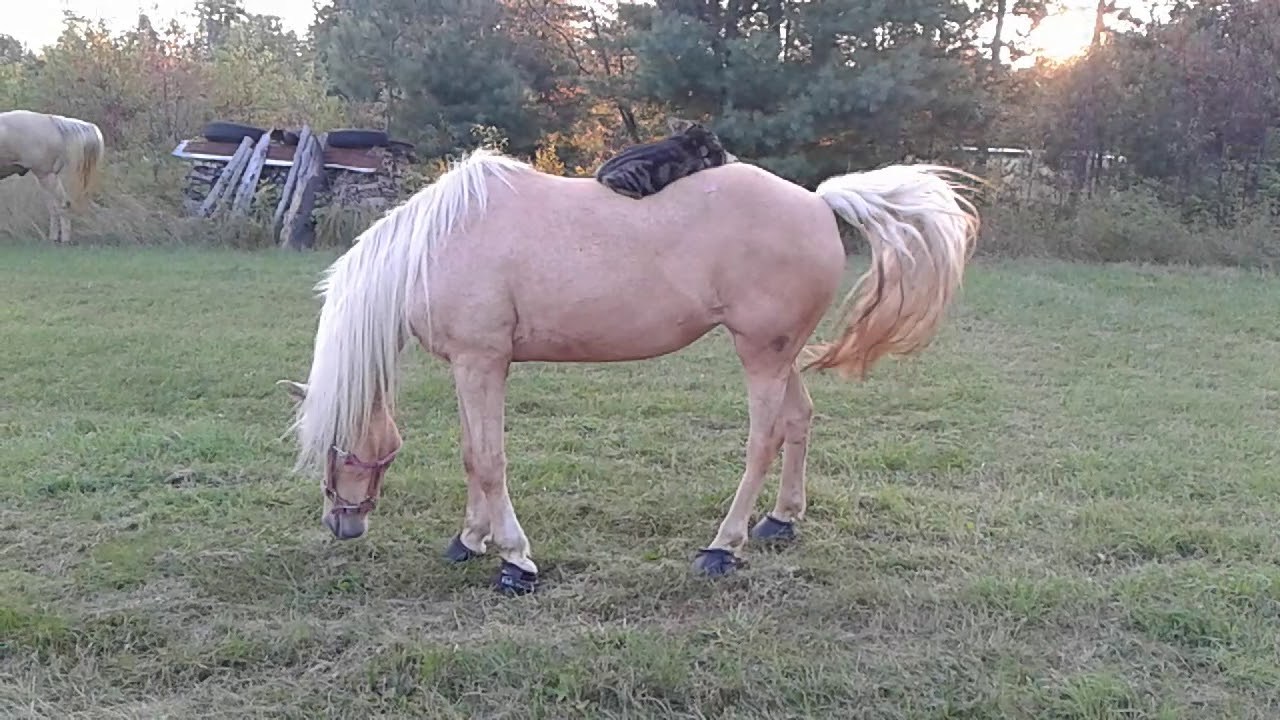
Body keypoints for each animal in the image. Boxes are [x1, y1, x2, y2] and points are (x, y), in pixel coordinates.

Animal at [0, 108, 104, 243]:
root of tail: (52, 121)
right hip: (47, 178)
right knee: (53, 208)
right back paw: (53, 238)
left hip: (46, 175)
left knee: (62, 205)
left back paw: (63, 240)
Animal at [280, 147, 977, 594]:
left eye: (333, 447)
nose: (342, 525)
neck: (437, 247)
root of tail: (817, 200)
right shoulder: (468, 368)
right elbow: (472, 455)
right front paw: (470, 541)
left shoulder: (483, 363)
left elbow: (489, 460)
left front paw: (514, 561)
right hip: (780, 354)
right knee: (800, 420)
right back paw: (781, 522)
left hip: (759, 354)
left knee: (764, 439)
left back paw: (722, 548)